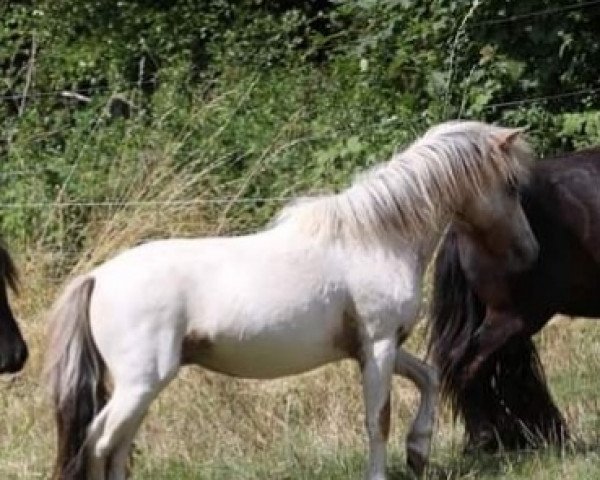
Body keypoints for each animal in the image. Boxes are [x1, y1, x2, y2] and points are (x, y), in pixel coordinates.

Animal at [44, 121, 536, 480]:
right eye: (512, 186)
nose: (529, 252)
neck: (375, 240)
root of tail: (97, 277)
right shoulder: (378, 346)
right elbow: (377, 420)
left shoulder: (375, 348)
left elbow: (429, 377)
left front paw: (418, 451)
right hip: (141, 383)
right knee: (98, 443)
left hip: (141, 389)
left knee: (117, 449)